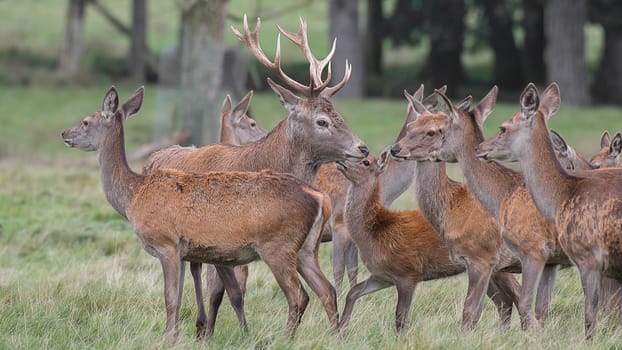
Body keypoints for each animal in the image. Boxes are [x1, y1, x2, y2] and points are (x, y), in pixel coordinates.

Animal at [61, 87, 338, 342]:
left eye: (86, 121)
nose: (64, 134)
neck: (133, 196)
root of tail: (320, 198)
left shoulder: (166, 243)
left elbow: (171, 297)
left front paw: (169, 339)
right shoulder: (184, 251)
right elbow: (180, 296)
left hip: (278, 246)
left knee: (298, 295)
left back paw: (285, 339)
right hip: (306, 249)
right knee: (328, 290)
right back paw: (336, 337)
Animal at [141, 16, 368, 340]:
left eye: (340, 116)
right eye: (322, 121)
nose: (363, 148)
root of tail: (154, 157)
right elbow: (219, 290)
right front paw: (211, 334)